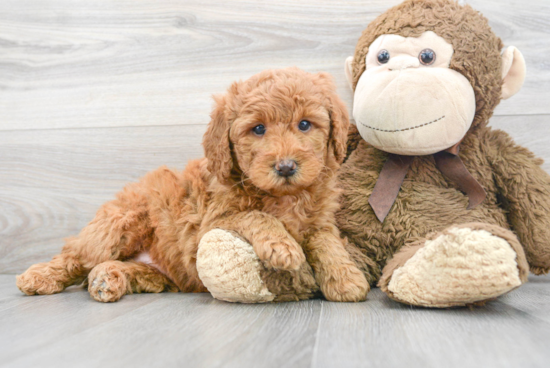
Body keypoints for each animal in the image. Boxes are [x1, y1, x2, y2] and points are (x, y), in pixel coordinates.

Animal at [16, 67, 370, 304]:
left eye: (305, 124)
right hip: (122, 223)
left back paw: (109, 279)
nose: (285, 167)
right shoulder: (212, 223)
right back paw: (40, 276)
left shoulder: (320, 222)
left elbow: (327, 242)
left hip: (159, 271)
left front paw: (346, 278)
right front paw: (282, 246)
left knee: (124, 269)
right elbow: (256, 216)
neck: (284, 196)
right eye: (258, 129)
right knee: (76, 255)